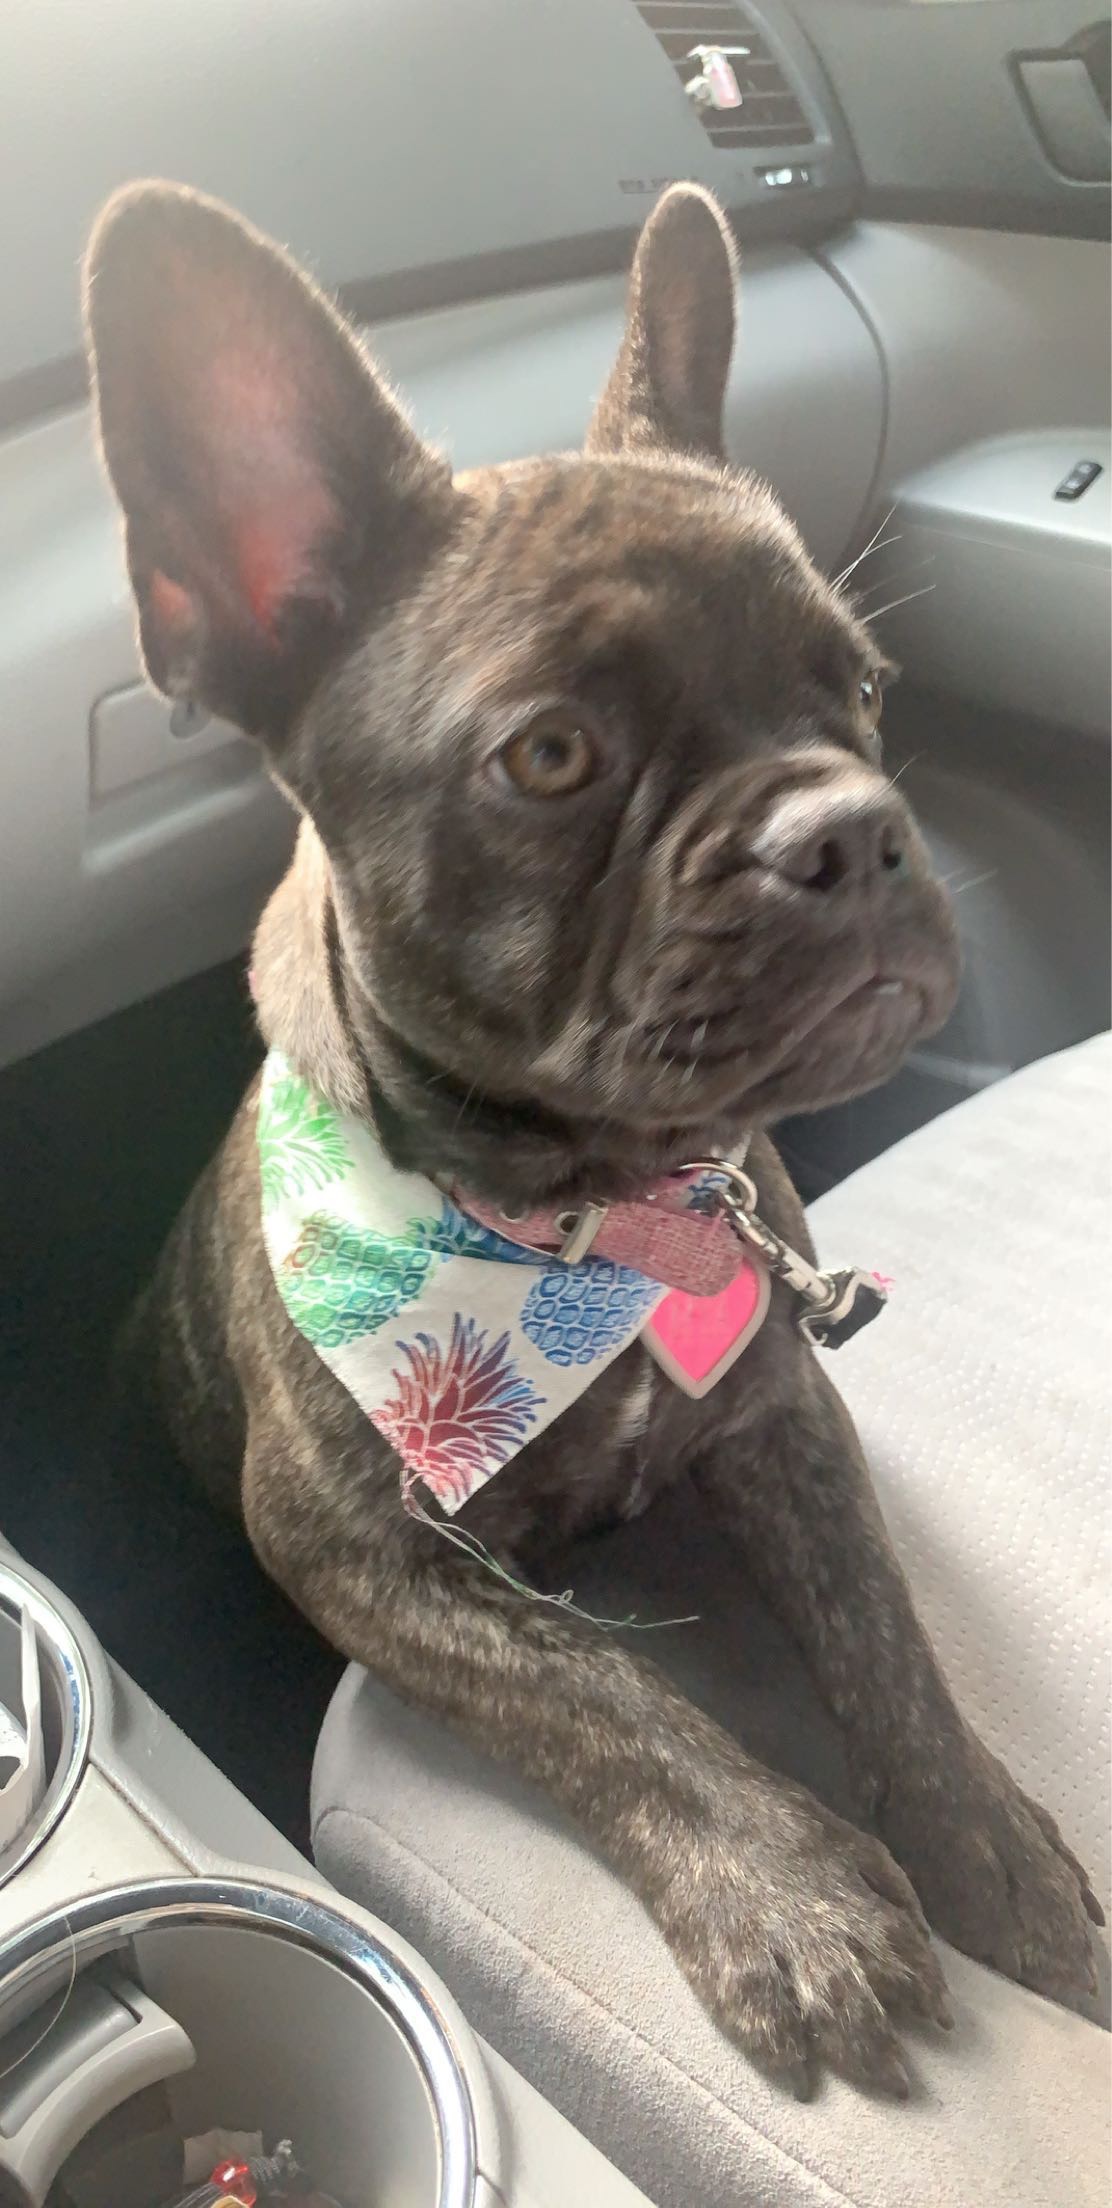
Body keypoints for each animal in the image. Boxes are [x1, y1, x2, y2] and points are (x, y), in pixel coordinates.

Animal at [85, 177, 1101, 2095]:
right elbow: (598, 1693)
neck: (598, 1216)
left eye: (866, 689)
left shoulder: (784, 1412)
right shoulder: (358, 1552)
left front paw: (989, 1842)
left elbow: (888, 1640)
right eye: (550, 756)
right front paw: (788, 1892)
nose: (849, 828)